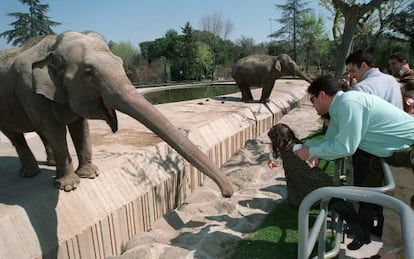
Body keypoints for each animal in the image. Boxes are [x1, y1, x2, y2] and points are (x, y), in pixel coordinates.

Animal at [0, 31, 233, 197]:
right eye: (88, 72)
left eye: (121, 63)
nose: (228, 193)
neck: (53, 44)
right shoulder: (30, 92)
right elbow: (55, 130)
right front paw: (69, 187)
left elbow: (80, 127)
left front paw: (90, 175)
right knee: (17, 135)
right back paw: (31, 174)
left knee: (39, 132)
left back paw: (47, 164)